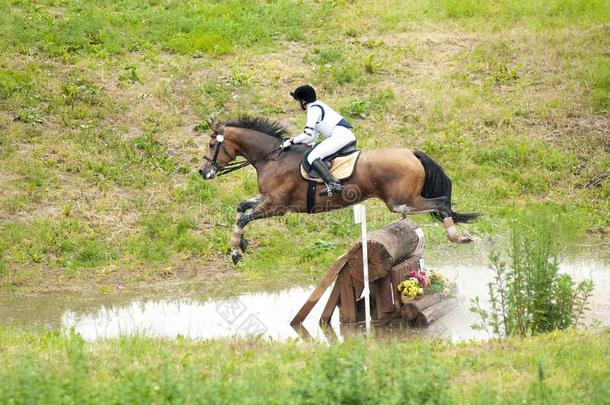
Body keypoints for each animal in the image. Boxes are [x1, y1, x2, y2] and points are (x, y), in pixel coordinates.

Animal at [200, 116, 476, 262]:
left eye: (213, 144)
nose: (203, 172)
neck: (272, 158)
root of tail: (411, 153)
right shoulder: (266, 199)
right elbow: (242, 208)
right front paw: (242, 244)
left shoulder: (277, 206)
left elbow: (244, 218)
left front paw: (235, 251)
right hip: (403, 201)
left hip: (401, 201)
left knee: (441, 203)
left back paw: (458, 237)